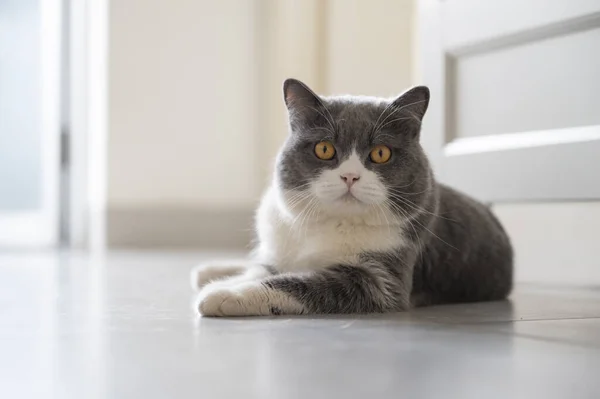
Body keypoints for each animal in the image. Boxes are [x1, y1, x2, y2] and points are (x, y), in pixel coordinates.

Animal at [191, 77, 510, 316]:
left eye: (381, 153)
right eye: (324, 149)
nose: (350, 177)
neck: (335, 221)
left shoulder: (382, 280)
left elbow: (299, 282)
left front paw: (225, 293)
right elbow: (264, 268)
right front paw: (227, 279)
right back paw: (208, 269)